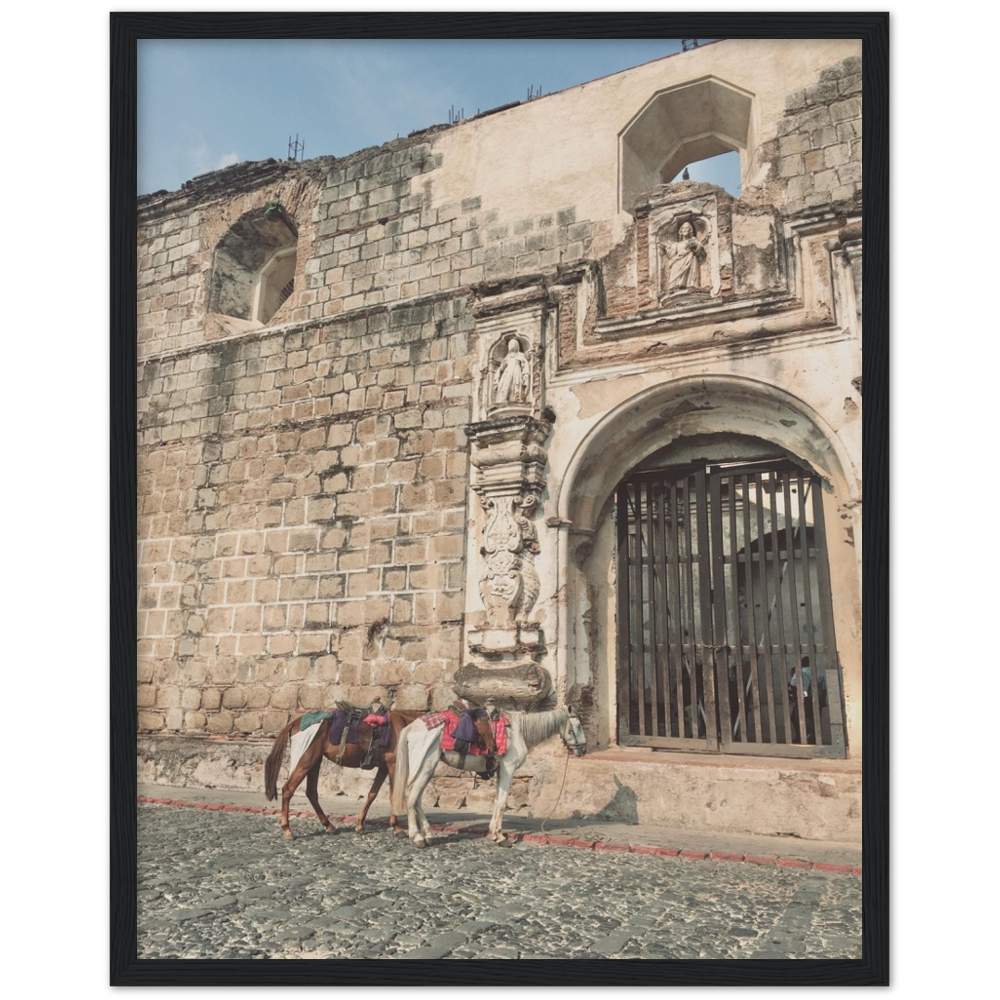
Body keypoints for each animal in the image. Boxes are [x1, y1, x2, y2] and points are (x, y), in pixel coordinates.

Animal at [264, 708, 494, 840]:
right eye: (481, 731)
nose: (493, 756)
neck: (407, 726)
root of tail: (295, 722)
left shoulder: (383, 767)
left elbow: (372, 794)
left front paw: (359, 824)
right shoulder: (393, 766)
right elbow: (393, 795)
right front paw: (398, 828)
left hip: (315, 760)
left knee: (311, 792)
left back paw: (329, 826)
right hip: (307, 758)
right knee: (288, 789)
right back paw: (287, 829)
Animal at [388, 708, 584, 848]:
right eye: (578, 726)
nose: (583, 750)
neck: (517, 731)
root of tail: (411, 727)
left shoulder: (501, 771)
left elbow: (497, 801)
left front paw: (494, 834)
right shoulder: (508, 770)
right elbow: (503, 803)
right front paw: (501, 837)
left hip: (427, 769)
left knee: (417, 799)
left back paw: (428, 835)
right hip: (424, 766)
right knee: (410, 797)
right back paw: (417, 837)